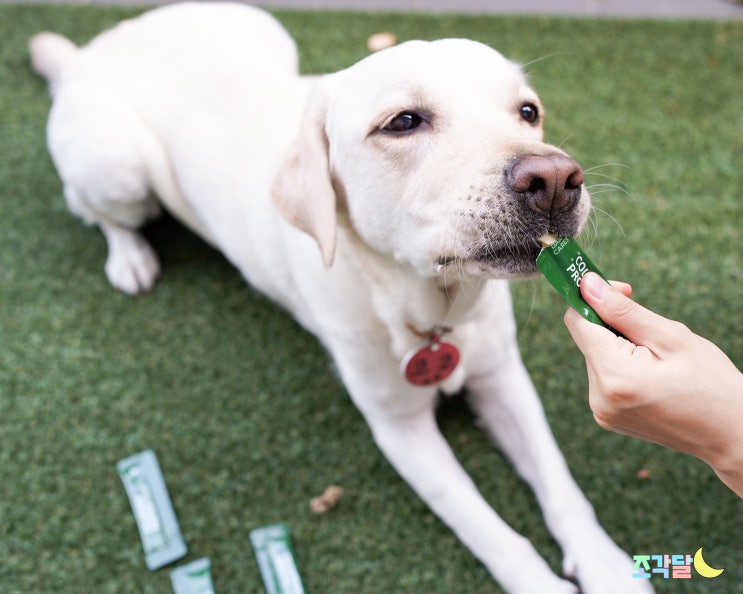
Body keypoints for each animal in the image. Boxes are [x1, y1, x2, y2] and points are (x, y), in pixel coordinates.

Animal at [32, 2, 652, 588]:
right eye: (403, 121)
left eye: (528, 112)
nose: (555, 180)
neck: (435, 314)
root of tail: (89, 50)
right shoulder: (400, 429)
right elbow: (489, 531)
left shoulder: (502, 375)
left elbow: (562, 486)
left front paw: (607, 567)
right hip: (117, 168)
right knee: (88, 206)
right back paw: (129, 258)